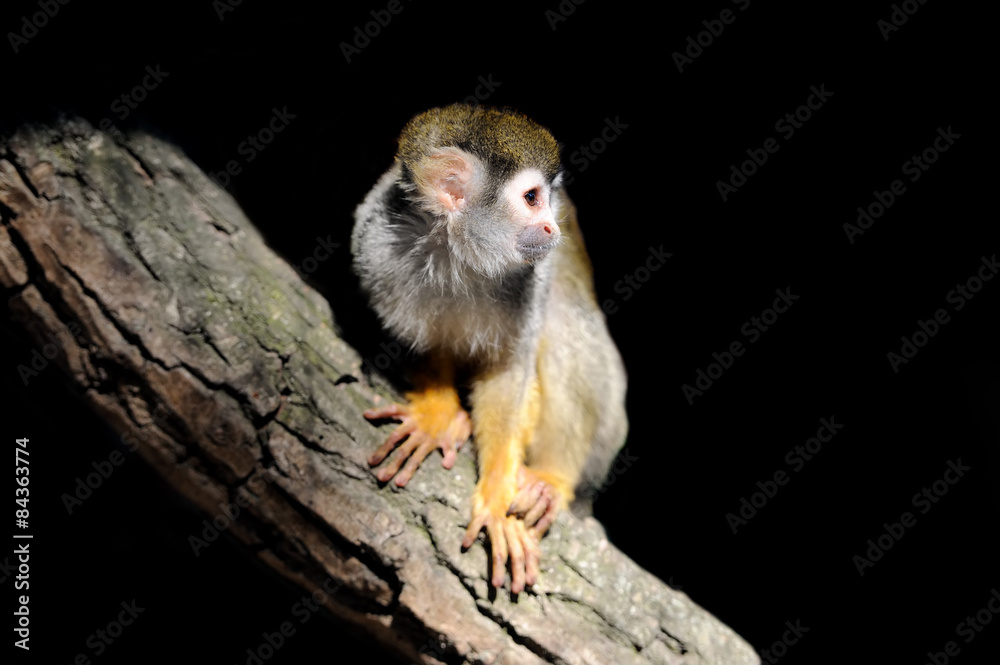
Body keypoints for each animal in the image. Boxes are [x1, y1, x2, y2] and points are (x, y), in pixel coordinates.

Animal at [351, 104, 627, 593]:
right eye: (532, 197)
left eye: (548, 199)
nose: (553, 226)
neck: (456, 254)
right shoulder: (377, 247)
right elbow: (413, 337)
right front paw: (436, 415)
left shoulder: (526, 281)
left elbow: (508, 374)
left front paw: (497, 499)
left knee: (563, 319)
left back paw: (553, 479)